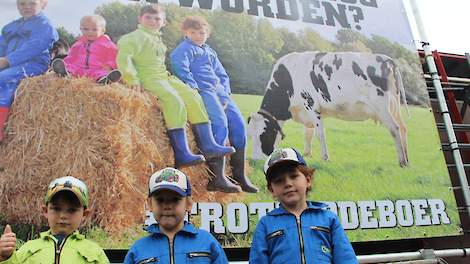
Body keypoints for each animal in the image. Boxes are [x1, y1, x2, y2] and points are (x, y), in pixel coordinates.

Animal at [248, 51, 410, 166]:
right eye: (250, 136)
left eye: (264, 135)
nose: (255, 160)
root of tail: (387, 59)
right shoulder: (305, 112)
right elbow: (307, 134)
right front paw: (307, 154)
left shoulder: (311, 105)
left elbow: (319, 134)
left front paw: (325, 158)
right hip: (394, 105)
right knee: (403, 127)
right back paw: (407, 160)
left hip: (382, 106)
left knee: (395, 128)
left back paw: (402, 161)